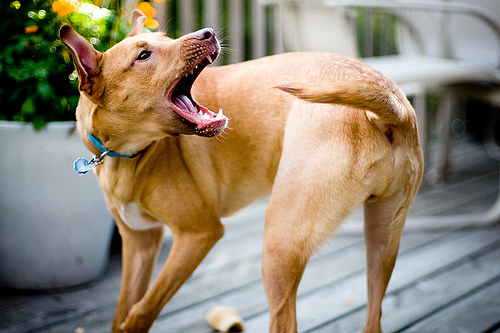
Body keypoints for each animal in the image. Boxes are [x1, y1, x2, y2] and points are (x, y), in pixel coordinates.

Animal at [61, 9, 422, 330]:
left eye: (166, 38)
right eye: (144, 55)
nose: (207, 33)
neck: (127, 155)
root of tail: (393, 111)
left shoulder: (198, 234)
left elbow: (141, 311)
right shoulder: (139, 242)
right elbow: (124, 308)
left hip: (280, 244)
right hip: (381, 242)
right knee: (374, 317)